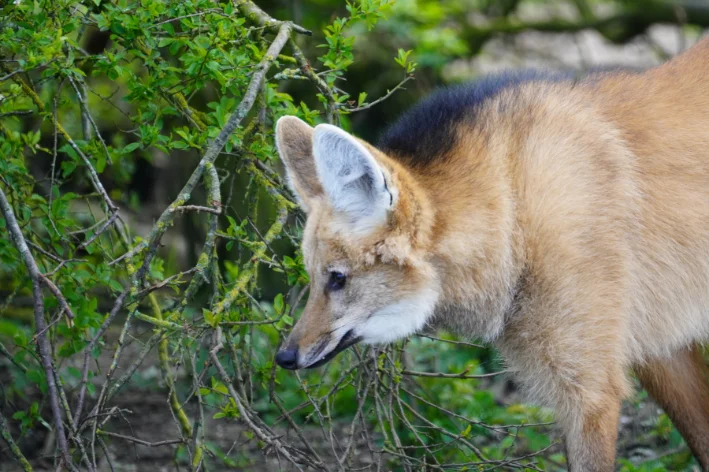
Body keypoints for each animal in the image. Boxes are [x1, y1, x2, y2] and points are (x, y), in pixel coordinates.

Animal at [274, 37, 708, 472]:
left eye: (338, 278)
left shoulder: (590, 392)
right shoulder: (660, 350)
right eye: (314, 276)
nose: (284, 357)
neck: (515, 217)